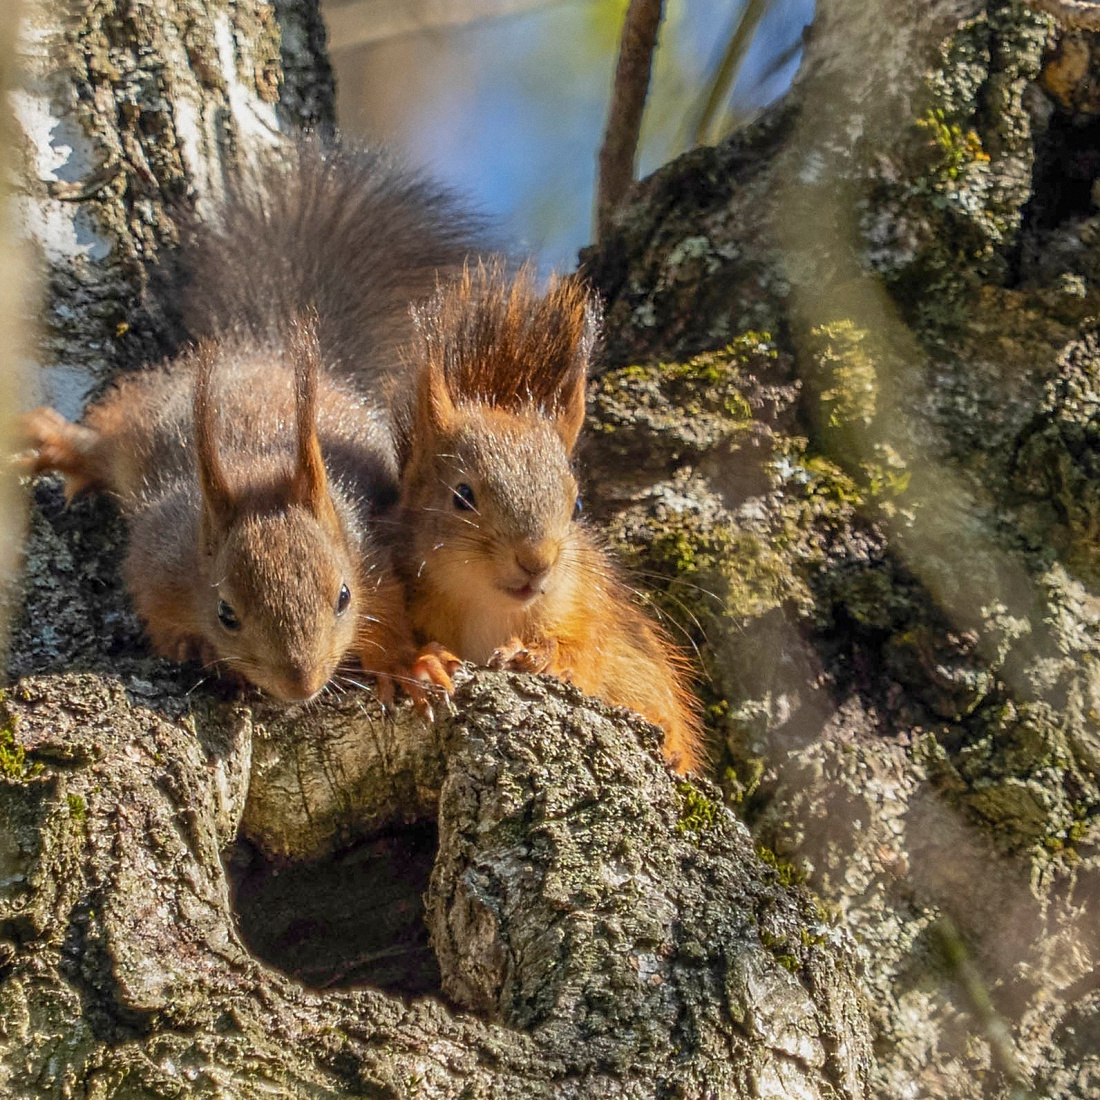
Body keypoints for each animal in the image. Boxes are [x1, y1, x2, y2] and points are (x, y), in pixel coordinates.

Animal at [18, 140, 483, 706]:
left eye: (343, 596)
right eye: (226, 614)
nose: (302, 686)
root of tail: (261, 347)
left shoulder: (368, 552)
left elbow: (389, 611)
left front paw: (407, 663)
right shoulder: (160, 564)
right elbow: (155, 614)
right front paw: (199, 649)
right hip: (144, 419)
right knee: (102, 442)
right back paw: (55, 441)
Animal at [391, 262, 704, 772]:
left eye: (577, 506)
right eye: (462, 495)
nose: (536, 562)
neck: (493, 610)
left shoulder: (593, 609)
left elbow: (589, 653)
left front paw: (541, 656)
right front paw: (425, 663)